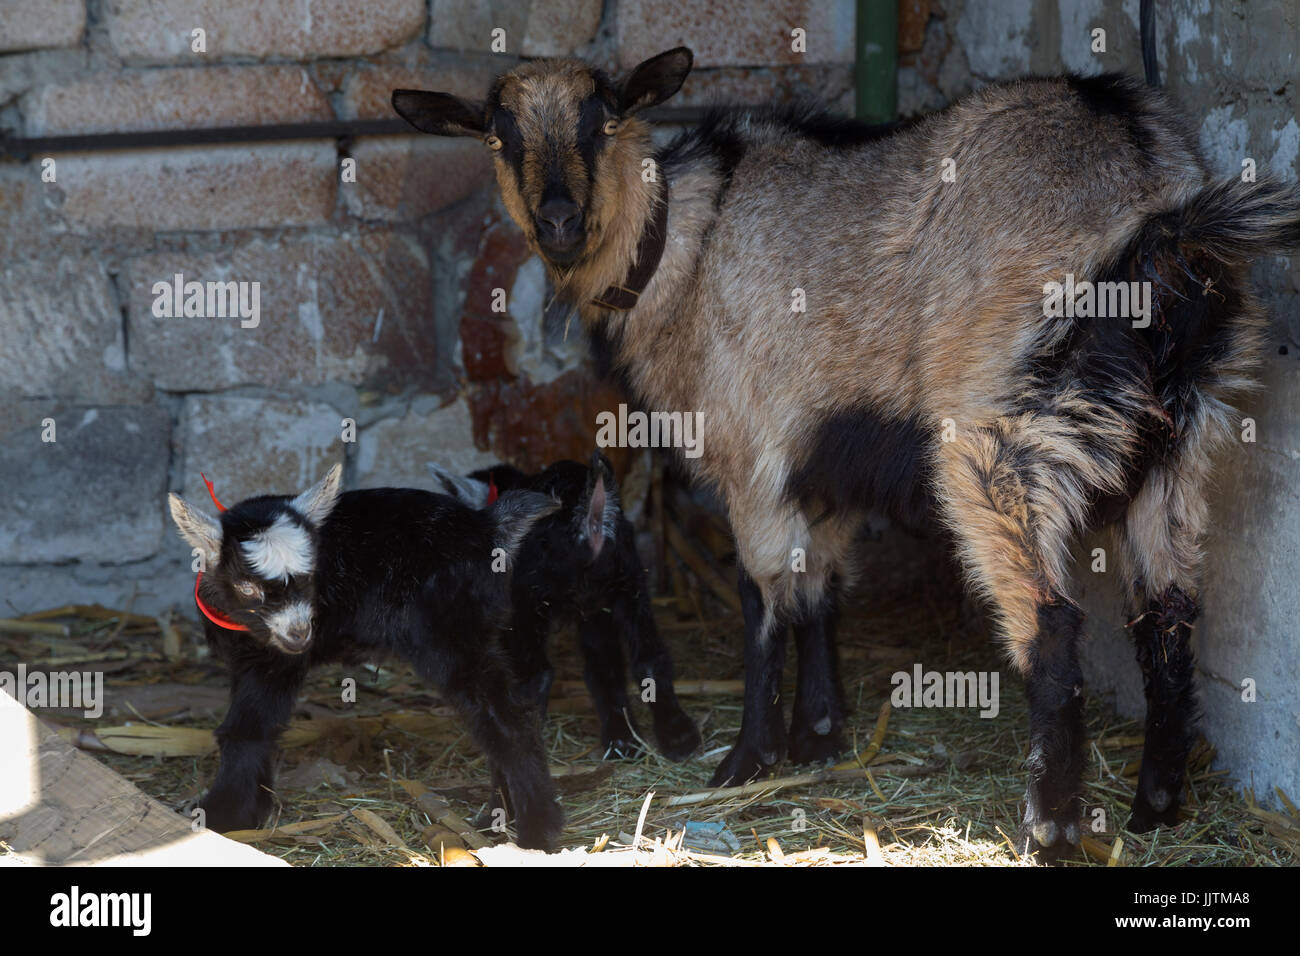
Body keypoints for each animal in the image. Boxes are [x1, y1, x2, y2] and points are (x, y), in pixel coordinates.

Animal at [390, 48, 1300, 863]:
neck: (684, 247)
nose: (558, 223)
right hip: (1182, 439)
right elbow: (820, 590)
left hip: (1005, 433)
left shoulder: (751, 450)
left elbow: (763, 601)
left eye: (601, 119)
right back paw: (1155, 811)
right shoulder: (819, 461)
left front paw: (747, 760)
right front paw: (821, 735)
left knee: (1051, 625)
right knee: (1169, 618)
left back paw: (1048, 832)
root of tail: (1157, 213)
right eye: (498, 134)